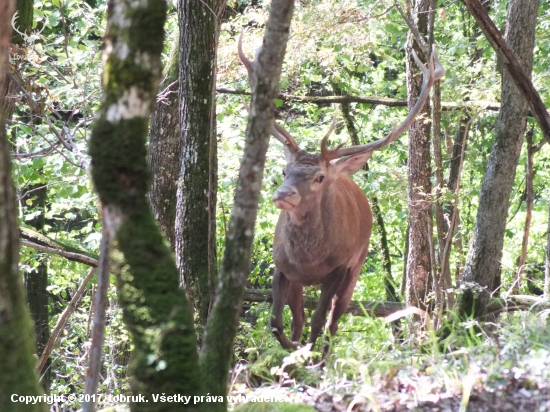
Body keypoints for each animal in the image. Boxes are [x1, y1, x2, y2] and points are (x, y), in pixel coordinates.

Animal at [239, 35, 446, 350]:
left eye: (320, 177)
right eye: (286, 171)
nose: (283, 194)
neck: (308, 260)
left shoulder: (340, 267)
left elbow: (319, 322)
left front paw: (309, 355)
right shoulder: (282, 266)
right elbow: (277, 323)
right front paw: (293, 353)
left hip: (356, 267)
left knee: (332, 323)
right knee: (298, 319)